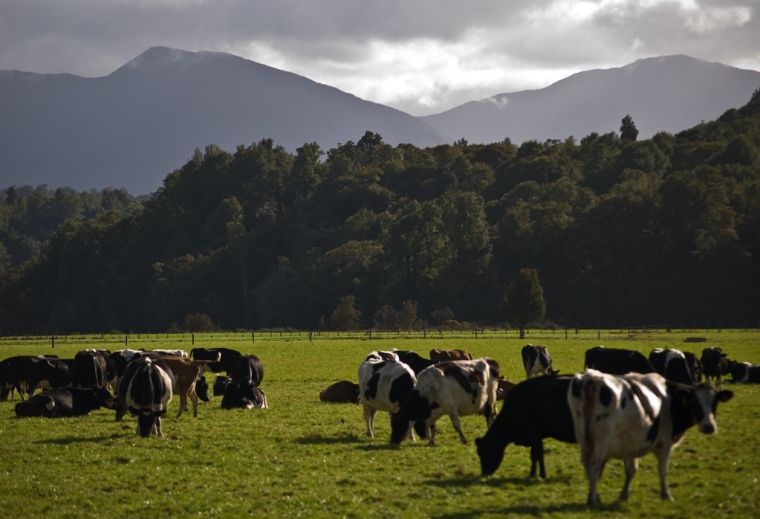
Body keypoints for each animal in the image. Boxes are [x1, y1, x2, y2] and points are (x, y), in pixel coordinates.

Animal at [567, 369, 733, 505]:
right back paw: (592, 500)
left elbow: (632, 470)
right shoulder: (665, 443)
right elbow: (663, 470)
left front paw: (624, 495)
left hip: (585, 438)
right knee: (595, 464)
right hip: (602, 439)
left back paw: (595, 496)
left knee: (587, 465)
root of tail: (592, 377)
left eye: (715, 402)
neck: (669, 399)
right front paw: (667, 495)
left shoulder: (631, 443)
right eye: (694, 402)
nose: (709, 426)